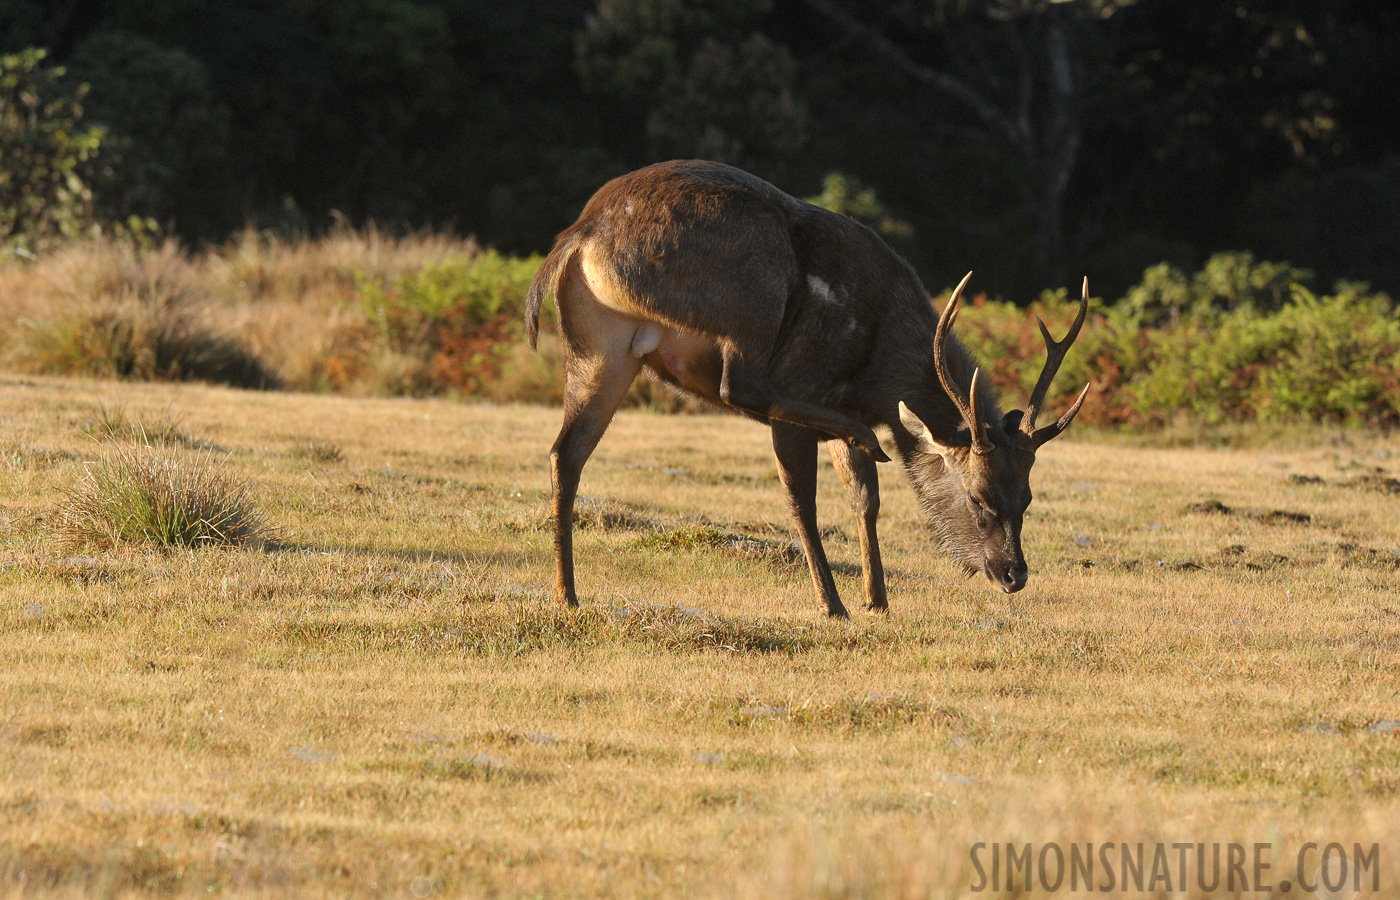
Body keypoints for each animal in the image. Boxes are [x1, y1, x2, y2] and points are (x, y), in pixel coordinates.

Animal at [529, 158, 1086, 615]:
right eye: (977, 497)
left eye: (1028, 497)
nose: (1014, 574)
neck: (879, 370)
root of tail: (580, 233)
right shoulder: (808, 378)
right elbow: (803, 500)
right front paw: (834, 604)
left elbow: (866, 498)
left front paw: (877, 599)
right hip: (755, 293)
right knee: (740, 387)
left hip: (602, 348)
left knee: (565, 452)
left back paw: (566, 593)